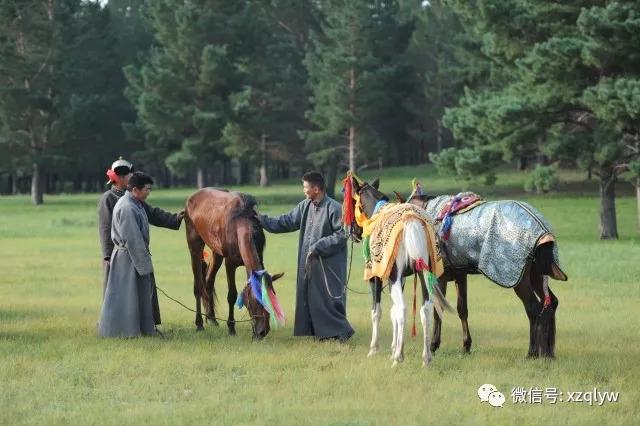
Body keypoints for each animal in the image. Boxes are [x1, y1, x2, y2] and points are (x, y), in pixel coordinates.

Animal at [185, 189, 284, 340]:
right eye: (257, 300)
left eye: (272, 297)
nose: (263, 331)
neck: (239, 224)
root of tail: (192, 197)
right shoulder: (230, 263)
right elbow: (231, 295)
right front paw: (231, 328)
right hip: (195, 246)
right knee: (198, 286)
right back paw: (199, 324)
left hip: (216, 252)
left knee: (208, 281)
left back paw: (212, 319)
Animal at [344, 175, 450, 368]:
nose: (352, 233)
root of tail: (411, 220)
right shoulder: (401, 279)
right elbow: (393, 312)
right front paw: (394, 347)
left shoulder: (377, 276)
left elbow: (377, 311)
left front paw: (375, 349)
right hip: (424, 274)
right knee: (425, 310)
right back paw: (426, 357)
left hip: (395, 277)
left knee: (403, 309)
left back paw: (399, 358)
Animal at [392, 185, 568, 358]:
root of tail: (543, 230)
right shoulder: (459, 275)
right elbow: (462, 309)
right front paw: (466, 346)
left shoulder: (440, 277)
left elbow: (438, 309)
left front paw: (433, 345)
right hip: (537, 274)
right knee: (550, 303)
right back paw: (548, 353)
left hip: (521, 279)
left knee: (533, 308)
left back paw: (532, 353)